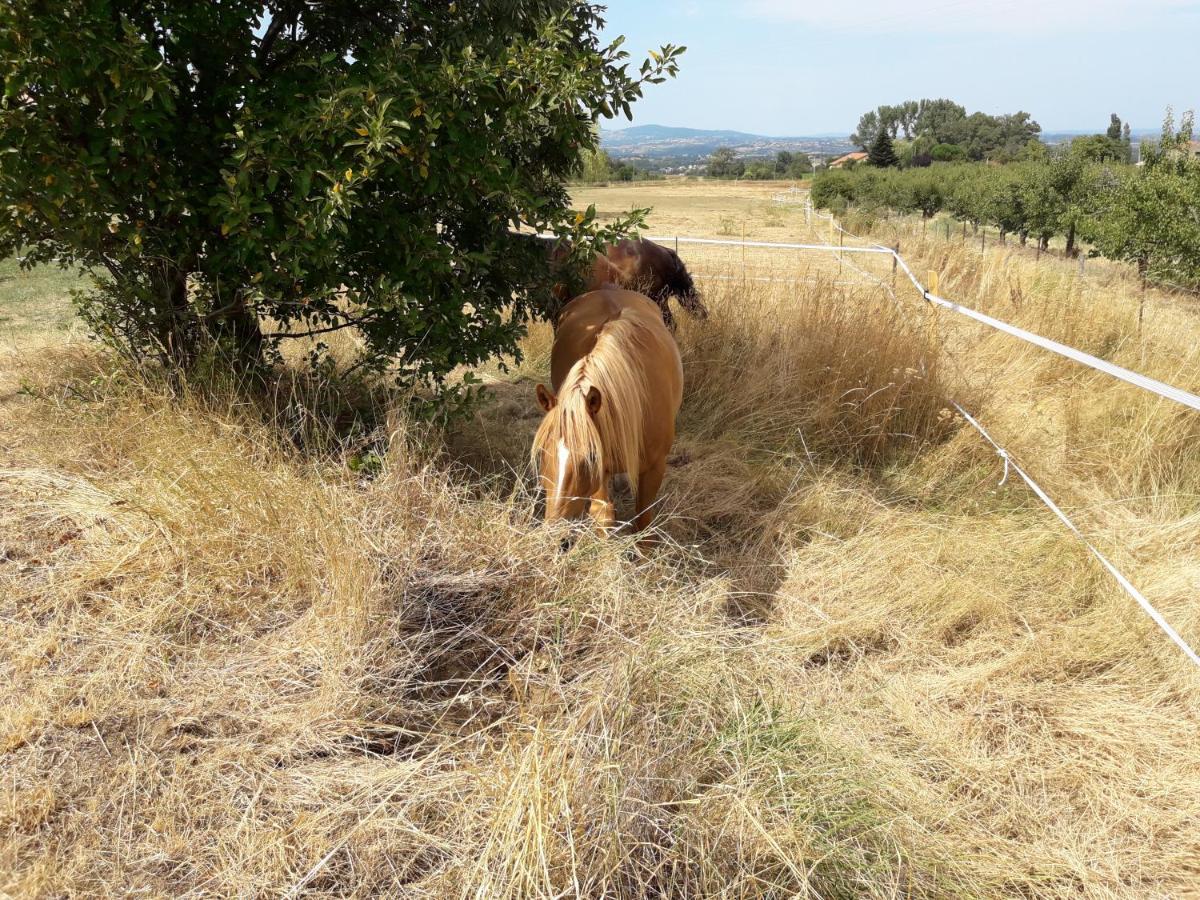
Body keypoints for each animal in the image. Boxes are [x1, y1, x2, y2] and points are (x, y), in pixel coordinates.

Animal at [530, 292, 681, 540]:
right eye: (543, 451)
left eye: (591, 456)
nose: (556, 533)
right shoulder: (601, 470)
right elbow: (603, 513)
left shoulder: (654, 468)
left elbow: (643, 522)